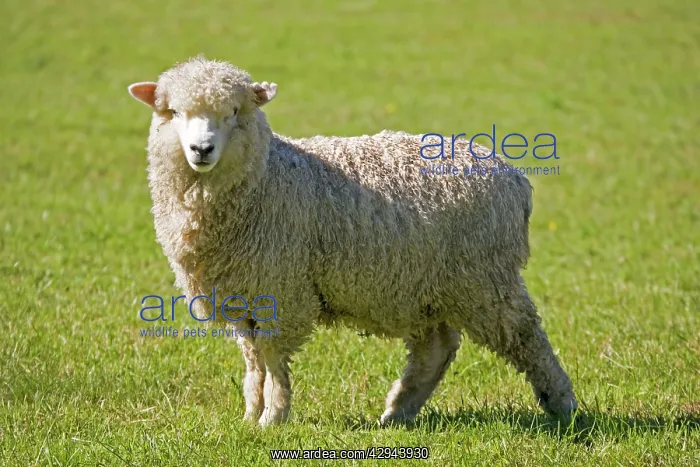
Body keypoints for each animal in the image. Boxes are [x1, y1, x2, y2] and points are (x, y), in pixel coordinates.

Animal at [127, 56, 577, 427]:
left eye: (234, 112)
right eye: (173, 112)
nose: (201, 149)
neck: (265, 177)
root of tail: (513, 177)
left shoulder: (282, 290)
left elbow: (272, 358)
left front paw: (273, 417)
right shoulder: (242, 294)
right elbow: (253, 359)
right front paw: (251, 413)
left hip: (484, 279)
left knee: (527, 338)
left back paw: (564, 405)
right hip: (426, 285)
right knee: (437, 348)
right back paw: (398, 411)